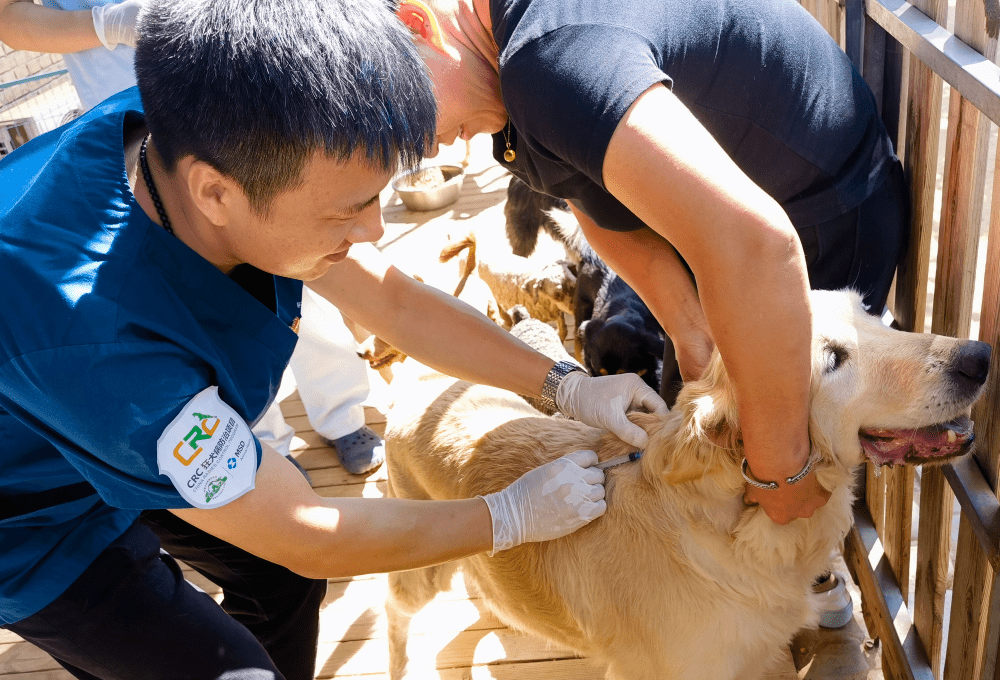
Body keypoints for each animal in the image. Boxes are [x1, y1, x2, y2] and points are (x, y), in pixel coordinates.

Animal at [382, 290, 992, 680]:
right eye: (832, 359)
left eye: (871, 314)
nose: (980, 357)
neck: (733, 525)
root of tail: (416, 381)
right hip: (419, 566)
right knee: (395, 606)